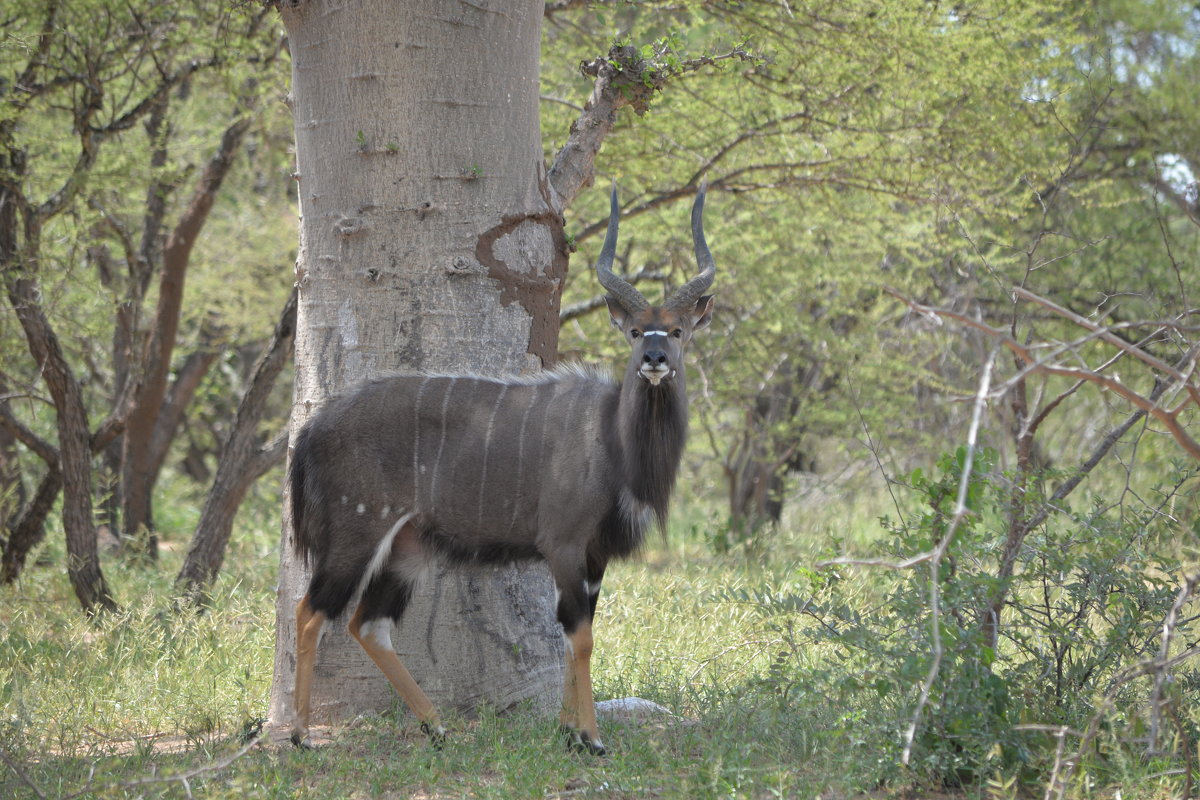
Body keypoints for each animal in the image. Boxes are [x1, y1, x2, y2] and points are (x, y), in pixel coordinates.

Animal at [291, 184, 715, 753]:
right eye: (632, 331)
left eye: (677, 330)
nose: (654, 359)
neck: (611, 438)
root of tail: (313, 428)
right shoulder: (562, 543)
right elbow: (580, 635)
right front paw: (590, 738)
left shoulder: (595, 555)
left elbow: (576, 632)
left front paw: (568, 731)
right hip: (357, 531)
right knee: (310, 612)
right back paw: (298, 735)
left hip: (408, 547)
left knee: (368, 625)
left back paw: (437, 725)